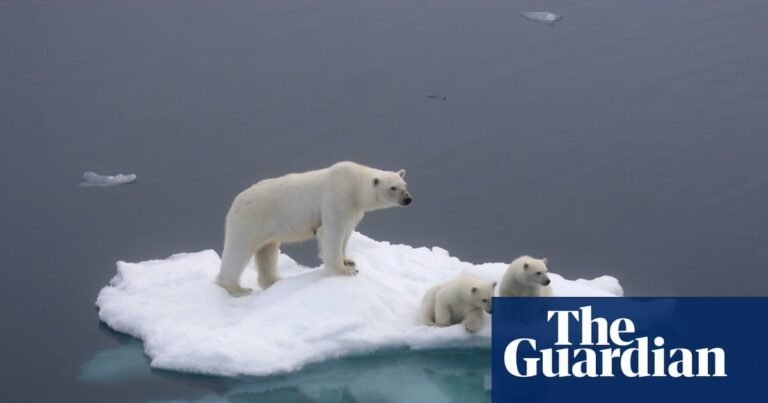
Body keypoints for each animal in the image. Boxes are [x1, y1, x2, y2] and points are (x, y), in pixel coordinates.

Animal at [215, 161, 413, 297]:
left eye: (405, 185)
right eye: (392, 188)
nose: (408, 199)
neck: (354, 185)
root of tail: (237, 201)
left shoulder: (353, 210)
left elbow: (346, 232)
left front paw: (349, 260)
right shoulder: (337, 197)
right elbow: (332, 232)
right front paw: (345, 270)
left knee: (267, 251)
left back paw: (275, 280)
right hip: (251, 219)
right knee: (238, 250)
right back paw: (237, 288)